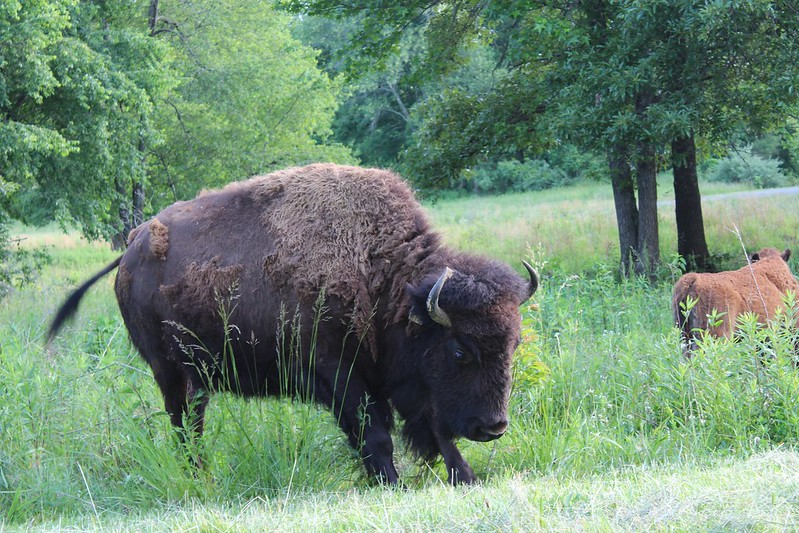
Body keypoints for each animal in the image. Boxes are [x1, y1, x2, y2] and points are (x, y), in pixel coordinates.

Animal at [48, 162, 536, 482]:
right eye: (460, 349)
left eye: (513, 345)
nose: (494, 426)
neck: (381, 275)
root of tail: (131, 248)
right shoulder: (341, 374)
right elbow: (375, 434)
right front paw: (391, 482)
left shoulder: (403, 386)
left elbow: (433, 432)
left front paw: (465, 478)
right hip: (167, 370)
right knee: (183, 424)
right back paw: (197, 476)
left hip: (197, 374)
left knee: (192, 420)